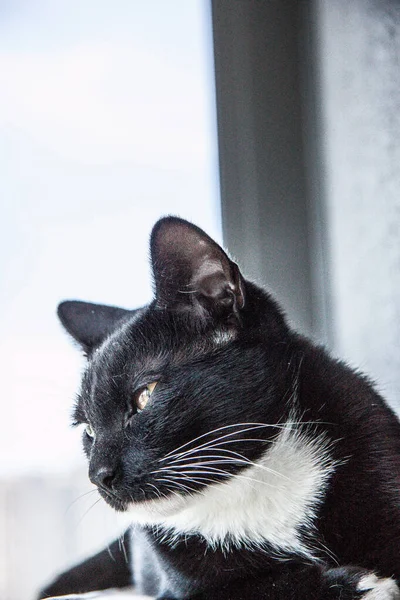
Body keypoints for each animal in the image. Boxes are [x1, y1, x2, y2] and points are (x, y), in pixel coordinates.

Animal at [39, 218, 400, 596]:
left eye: (144, 396)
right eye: (88, 429)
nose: (99, 475)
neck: (257, 481)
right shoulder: (181, 586)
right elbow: (257, 586)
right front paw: (358, 586)